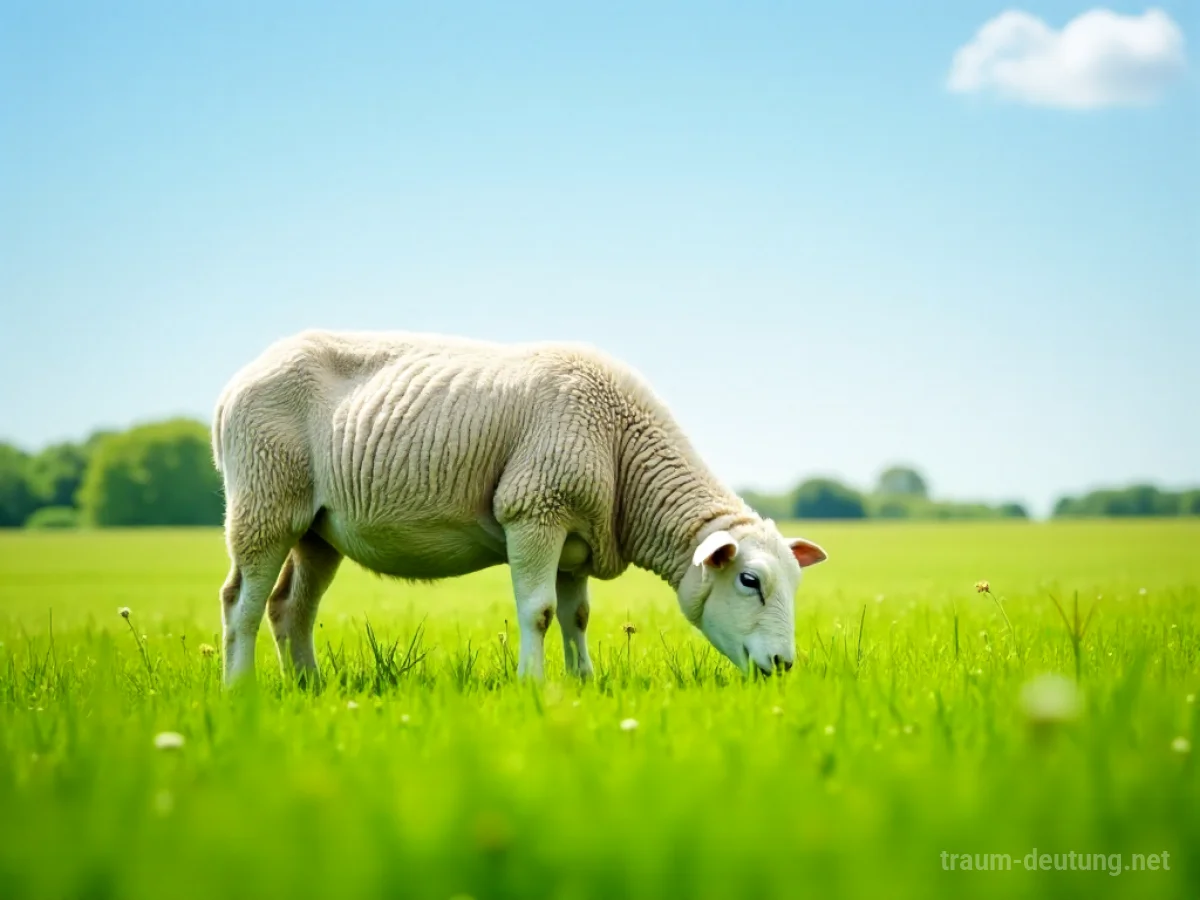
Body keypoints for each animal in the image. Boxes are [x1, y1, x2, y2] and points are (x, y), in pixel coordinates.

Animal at [212, 330, 827, 684]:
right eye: (749, 581)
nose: (783, 667)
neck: (623, 450)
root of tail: (232, 388)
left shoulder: (579, 540)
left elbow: (577, 617)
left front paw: (583, 682)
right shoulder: (535, 510)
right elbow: (539, 611)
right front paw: (532, 686)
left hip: (317, 529)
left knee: (290, 608)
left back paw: (309, 688)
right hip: (265, 499)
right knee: (241, 602)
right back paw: (241, 692)